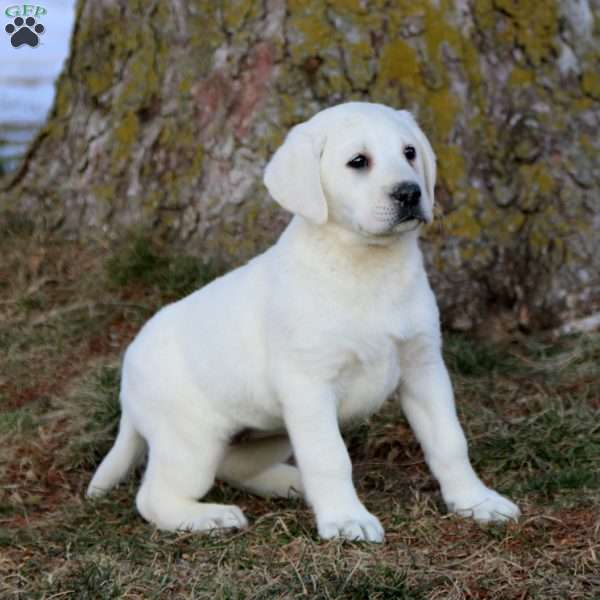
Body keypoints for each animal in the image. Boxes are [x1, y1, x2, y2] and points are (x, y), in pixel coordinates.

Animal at [88, 103, 520, 544]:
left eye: (410, 152)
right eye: (358, 161)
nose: (410, 193)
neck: (367, 267)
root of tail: (127, 376)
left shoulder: (424, 367)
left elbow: (450, 441)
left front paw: (475, 501)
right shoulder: (310, 386)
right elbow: (330, 456)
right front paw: (346, 519)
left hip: (267, 431)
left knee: (234, 466)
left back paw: (290, 484)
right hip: (191, 439)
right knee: (154, 496)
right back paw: (210, 517)